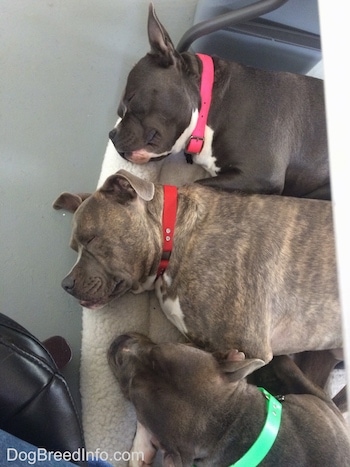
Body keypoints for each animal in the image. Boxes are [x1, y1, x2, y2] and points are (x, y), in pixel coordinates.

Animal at [108, 4, 330, 201]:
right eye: (119, 111)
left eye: (131, 98)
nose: (112, 134)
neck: (210, 106)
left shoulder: (260, 175)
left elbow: (193, 184)